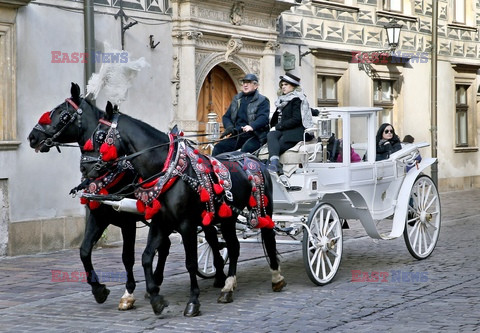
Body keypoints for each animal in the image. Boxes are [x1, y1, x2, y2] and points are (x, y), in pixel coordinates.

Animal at [80, 97, 286, 316]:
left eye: (100, 135)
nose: (84, 167)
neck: (168, 170)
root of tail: (255, 159)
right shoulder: (160, 223)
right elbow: (145, 257)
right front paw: (155, 298)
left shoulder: (185, 224)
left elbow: (190, 263)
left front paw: (193, 301)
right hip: (227, 217)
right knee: (233, 246)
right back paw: (227, 287)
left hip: (263, 210)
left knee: (268, 238)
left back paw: (276, 277)